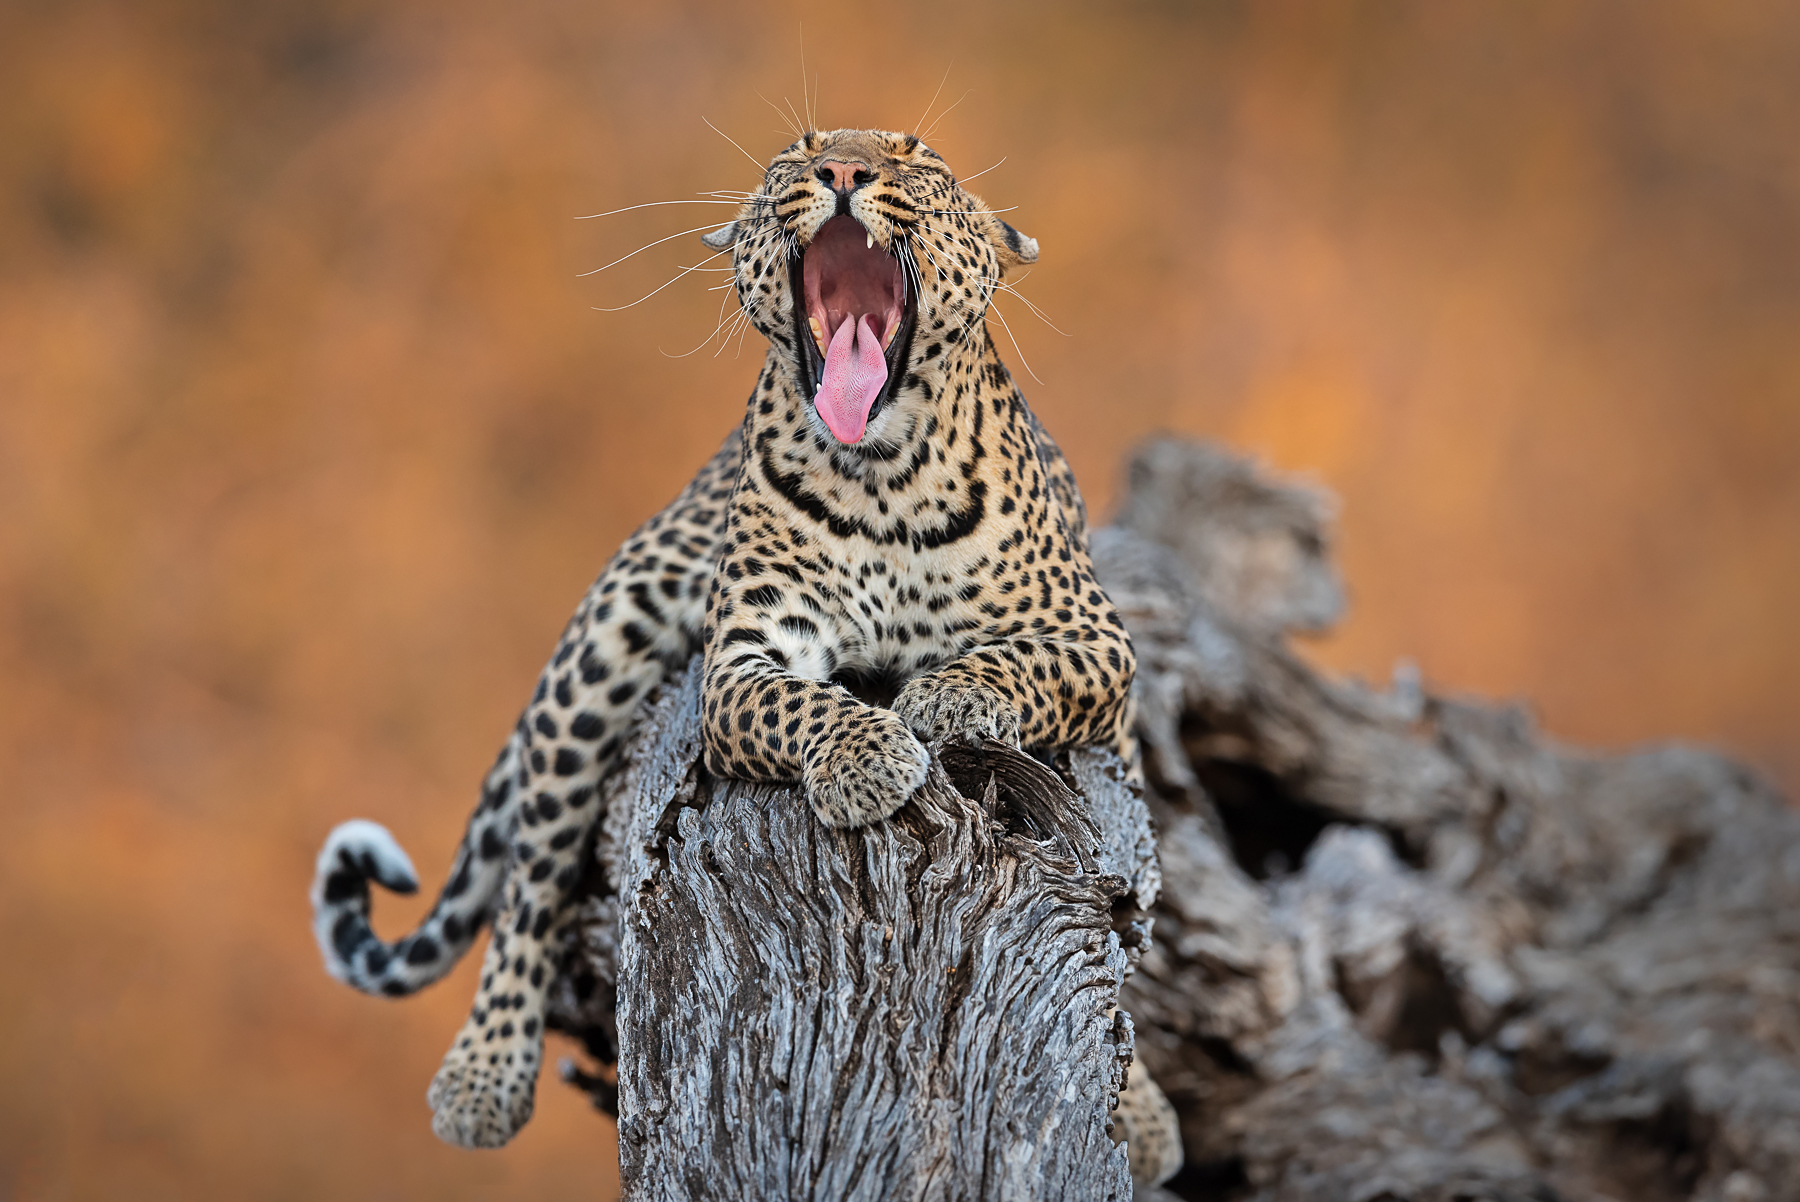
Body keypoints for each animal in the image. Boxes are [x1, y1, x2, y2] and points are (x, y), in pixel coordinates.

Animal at [310, 126, 1180, 1185]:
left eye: (917, 158)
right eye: (794, 155)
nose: (842, 170)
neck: (884, 473)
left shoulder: (1097, 637)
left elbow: (1014, 665)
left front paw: (945, 700)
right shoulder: (742, 664)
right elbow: (804, 705)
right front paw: (869, 758)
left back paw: (1141, 1105)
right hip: (608, 635)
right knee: (531, 874)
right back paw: (481, 1077)